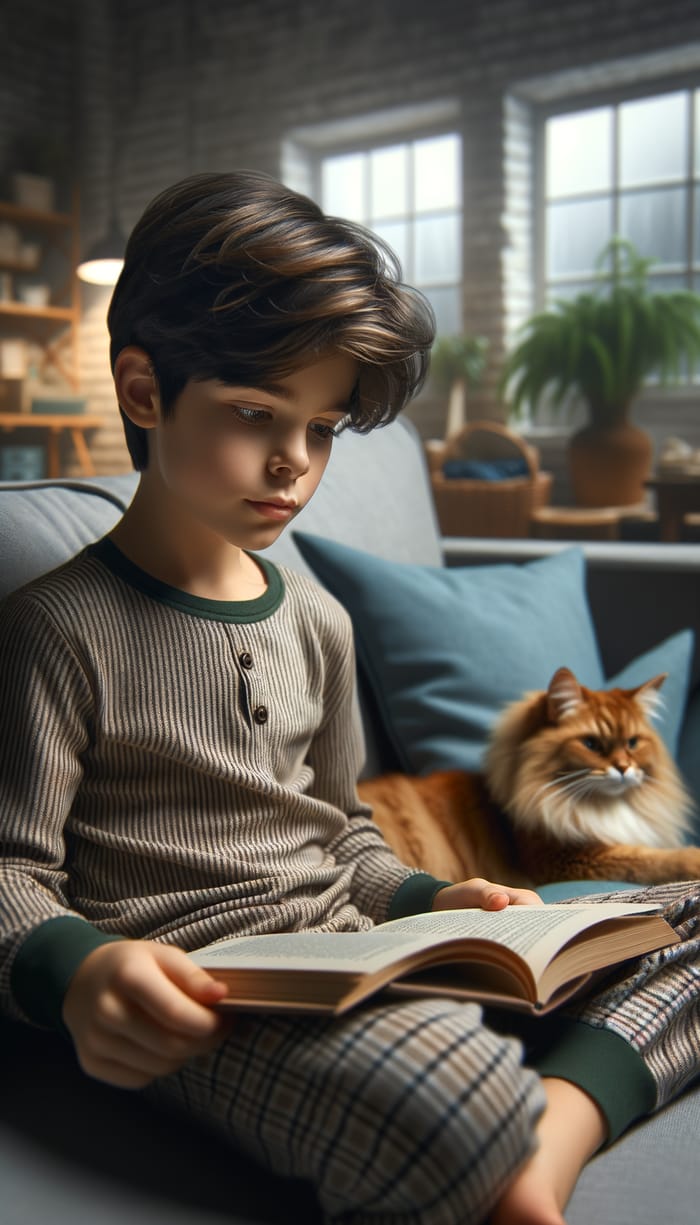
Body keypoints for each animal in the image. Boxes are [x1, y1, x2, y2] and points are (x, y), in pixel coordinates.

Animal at [360, 671, 700, 891]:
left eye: (632, 743)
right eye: (591, 744)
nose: (624, 768)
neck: (604, 806)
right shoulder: (566, 859)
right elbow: (652, 859)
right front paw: (692, 860)